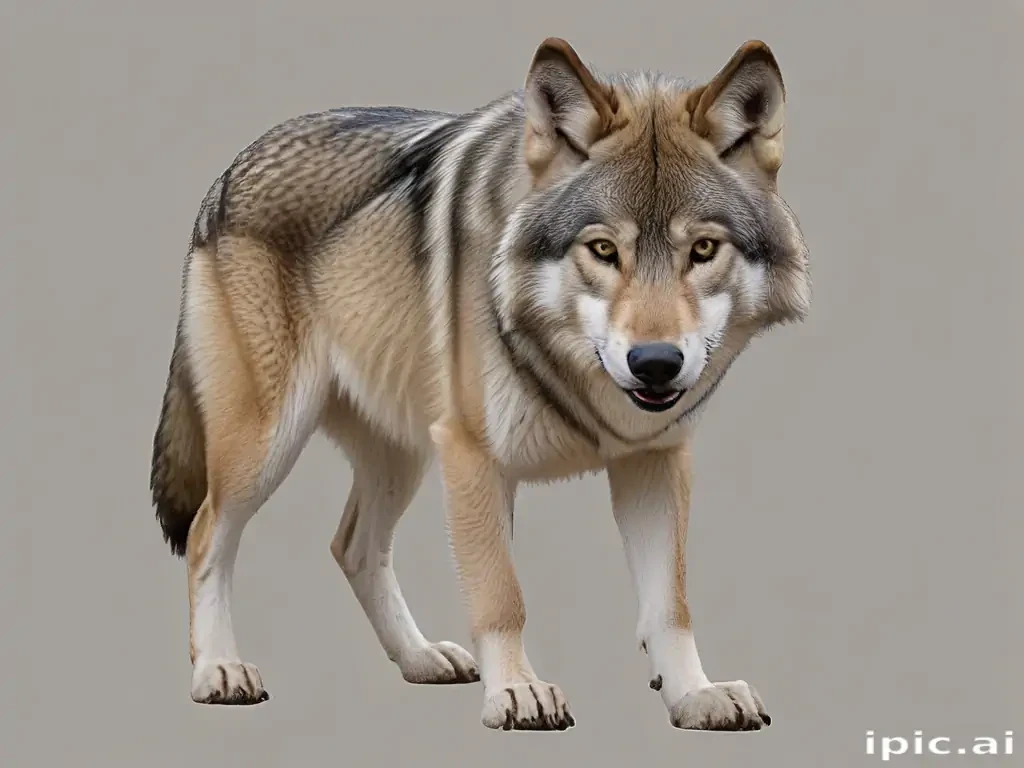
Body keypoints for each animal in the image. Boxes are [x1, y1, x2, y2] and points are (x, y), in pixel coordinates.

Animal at [149, 37, 810, 732]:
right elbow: (501, 595)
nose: (655, 363)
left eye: (704, 249)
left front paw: (694, 695)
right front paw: (517, 692)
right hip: (266, 445)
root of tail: (231, 171)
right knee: (206, 533)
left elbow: (670, 605)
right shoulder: (473, 457)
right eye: (603, 250)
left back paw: (420, 659)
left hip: (403, 454)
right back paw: (218, 670)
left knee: (352, 546)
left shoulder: (654, 459)